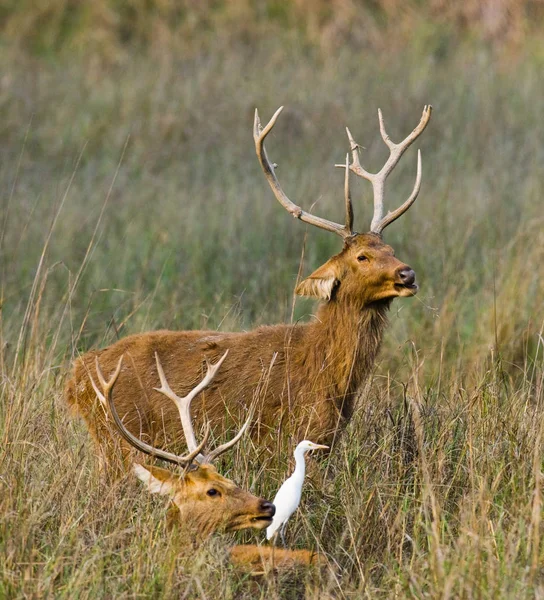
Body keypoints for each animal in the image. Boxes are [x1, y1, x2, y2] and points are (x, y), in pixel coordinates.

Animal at [65, 105, 430, 464]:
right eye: (362, 257)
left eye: (390, 250)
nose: (407, 274)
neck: (325, 377)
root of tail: (75, 377)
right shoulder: (280, 438)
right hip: (120, 439)